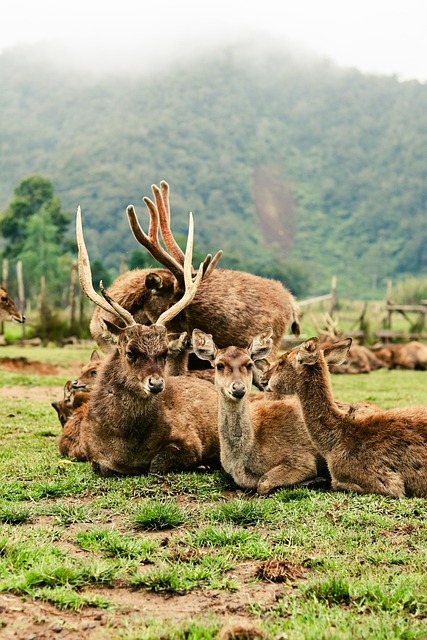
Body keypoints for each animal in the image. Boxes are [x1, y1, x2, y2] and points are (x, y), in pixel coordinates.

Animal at [58, 205, 221, 476]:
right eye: (130, 352)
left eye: (164, 353)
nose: (156, 383)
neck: (125, 447)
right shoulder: (92, 454)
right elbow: (102, 466)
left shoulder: (190, 439)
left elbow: (157, 464)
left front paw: (202, 464)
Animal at [191, 328, 328, 492]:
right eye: (220, 365)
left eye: (249, 364)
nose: (238, 388)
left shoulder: (302, 459)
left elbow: (262, 483)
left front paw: (315, 480)